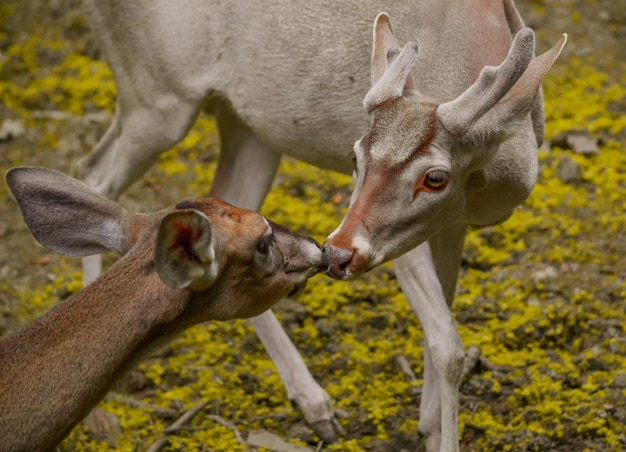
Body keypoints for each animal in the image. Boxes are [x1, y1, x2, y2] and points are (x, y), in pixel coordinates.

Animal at [69, 1, 564, 450]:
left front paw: (427, 423)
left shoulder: (448, 223)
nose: (338, 252)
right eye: (355, 155)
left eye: (436, 177)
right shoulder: (402, 243)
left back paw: (314, 405)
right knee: (93, 171)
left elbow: (442, 319)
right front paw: (437, 432)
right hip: (155, 94)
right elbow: (449, 346)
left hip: (248, 125)